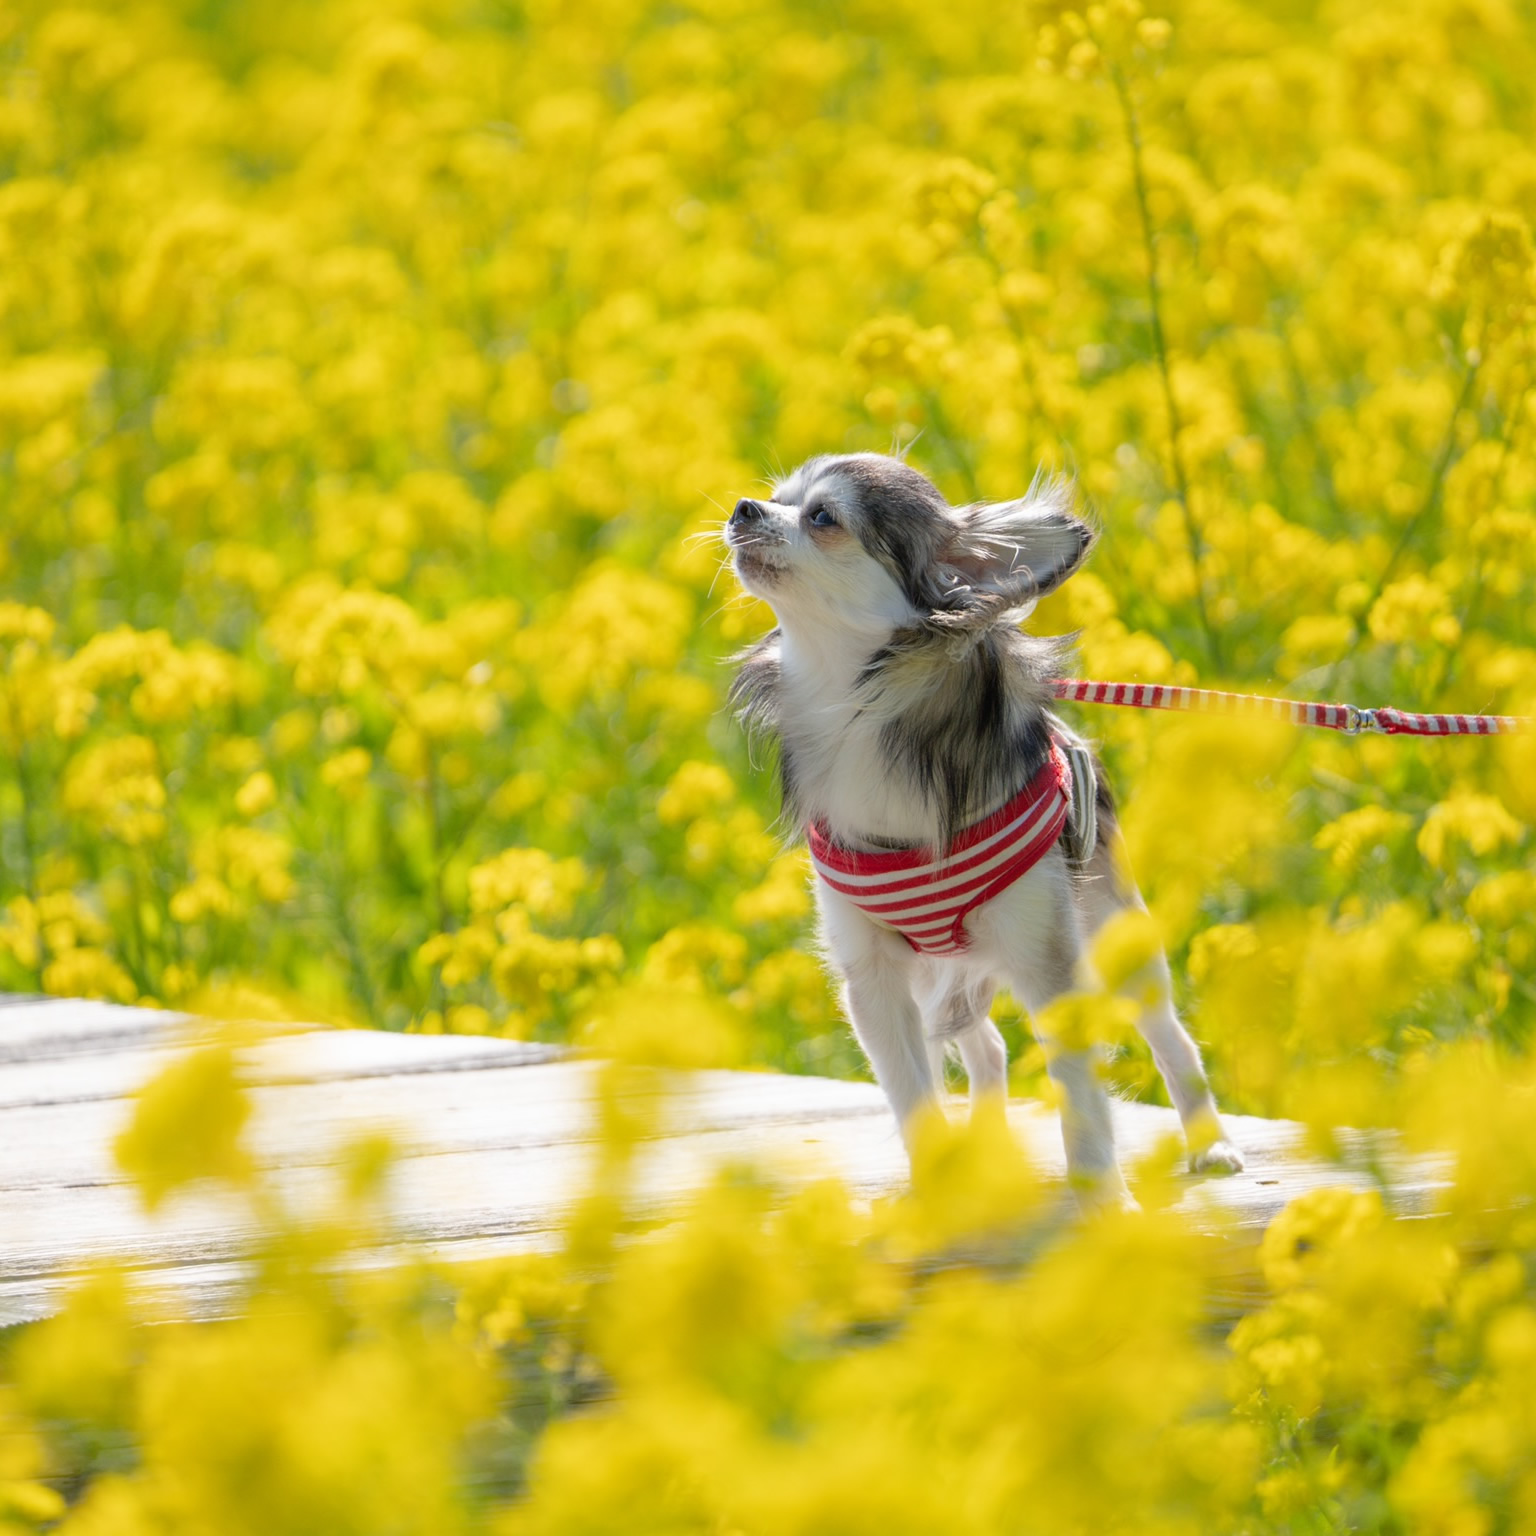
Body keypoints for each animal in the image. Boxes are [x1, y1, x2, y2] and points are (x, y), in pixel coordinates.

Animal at [724, 448, 1241, 1204]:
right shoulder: (874, 980)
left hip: (1114, 931)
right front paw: (936, 1195)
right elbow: (913, 1096)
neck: (858, 701)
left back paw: (1211, 1146)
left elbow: (1082, 1099)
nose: (741, 508)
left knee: (1170, 1037)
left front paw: (1104, 1201)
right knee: (988, 1046)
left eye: (822, 517)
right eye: (777, 497)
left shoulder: (1049, 961)